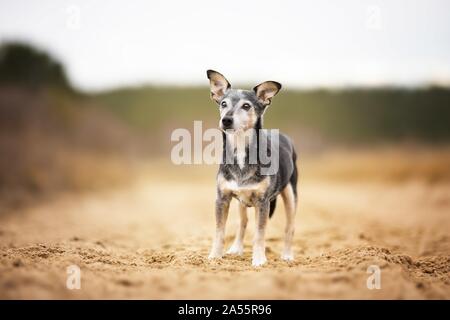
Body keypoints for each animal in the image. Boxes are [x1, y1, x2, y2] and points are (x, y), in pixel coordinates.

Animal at [206, 70, 298, 268]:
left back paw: (287, 256)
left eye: (246, 106)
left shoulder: (262, 202)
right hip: (242, 201)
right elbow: (219, 230)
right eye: (223, 103)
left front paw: (259, 260)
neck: (240, 149)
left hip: (291, 195)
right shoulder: (222, 198)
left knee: (290, 227)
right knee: (243, 222)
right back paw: (236, 249)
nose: (226, 120)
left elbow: (260, 233)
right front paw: (215, 256)